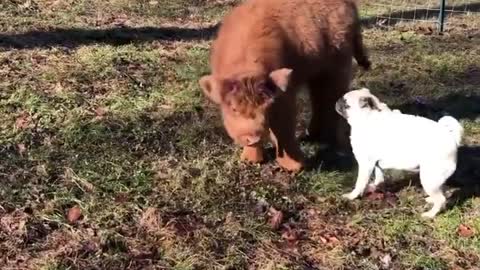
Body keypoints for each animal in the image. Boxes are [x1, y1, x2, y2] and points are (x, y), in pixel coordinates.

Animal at [199, 0, 372, 171]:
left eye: (266, 109)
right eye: (234, 109)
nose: (254, 137)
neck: (246, 69)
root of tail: (350, 5)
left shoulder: (284, 95)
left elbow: (284, 127)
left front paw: (296, 167)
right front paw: (250, 160)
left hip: (339, 62)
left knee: (332, 98)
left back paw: (333, 143)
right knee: (318, 98)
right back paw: (311, 136)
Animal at [336, 87, 464, 218]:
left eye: (346, 105)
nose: (337, 101)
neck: (368, 116)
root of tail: (451, 137)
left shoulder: (365, 164)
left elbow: (360, 183)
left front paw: (352, 196)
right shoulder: (375, 163)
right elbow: (379, 176)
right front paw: (376, 185)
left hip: (429, 178)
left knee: (441, 199)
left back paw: (430, 214)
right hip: (436, 177)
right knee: (443, 191)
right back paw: (431, 200)